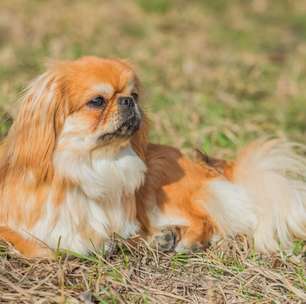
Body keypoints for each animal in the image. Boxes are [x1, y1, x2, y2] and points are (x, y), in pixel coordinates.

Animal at [0, 55, 306, 256]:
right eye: (97, 101)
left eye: (134, 94)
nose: (128, 101)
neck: (90, 165)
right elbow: (34, 242)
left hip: (157, 181)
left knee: (207, 219)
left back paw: (182, 241)